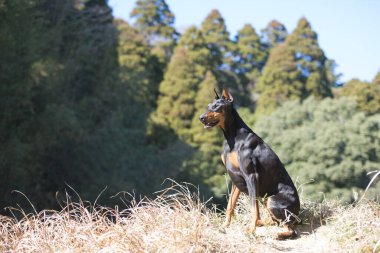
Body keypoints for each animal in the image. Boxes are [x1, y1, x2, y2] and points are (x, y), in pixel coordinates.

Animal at [199, 88, 300, 239]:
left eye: (217, 106)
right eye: (208, 106)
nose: (201, 117)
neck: (232, 137)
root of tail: (299, 211)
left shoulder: (251, 175)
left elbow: (253, 207)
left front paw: (251, 230)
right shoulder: (235, 178)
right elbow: (230, 205)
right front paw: (224, 225)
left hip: (272, 200)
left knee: (290, 228)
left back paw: (278, 234)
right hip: (266, 199)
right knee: (273, 221)